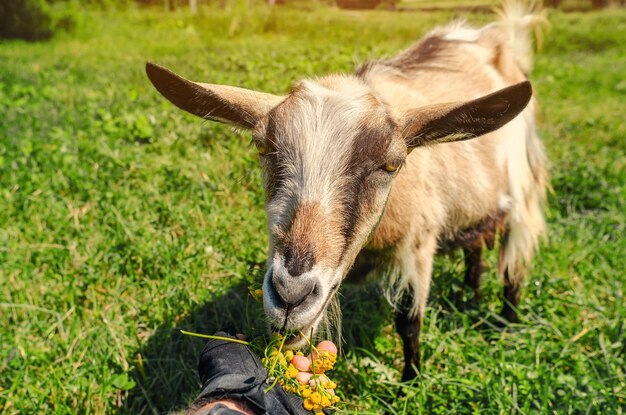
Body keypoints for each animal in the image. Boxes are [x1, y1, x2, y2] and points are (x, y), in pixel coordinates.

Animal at [146, 1, 544, 382]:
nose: (290, 297)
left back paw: (507, 325)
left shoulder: (418, 244)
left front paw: (410, 381)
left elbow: (409, 323)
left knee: (513, 267)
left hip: (523, 193)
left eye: (391, 164)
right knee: (476, 247)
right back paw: (470, 295)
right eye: (262, 146)